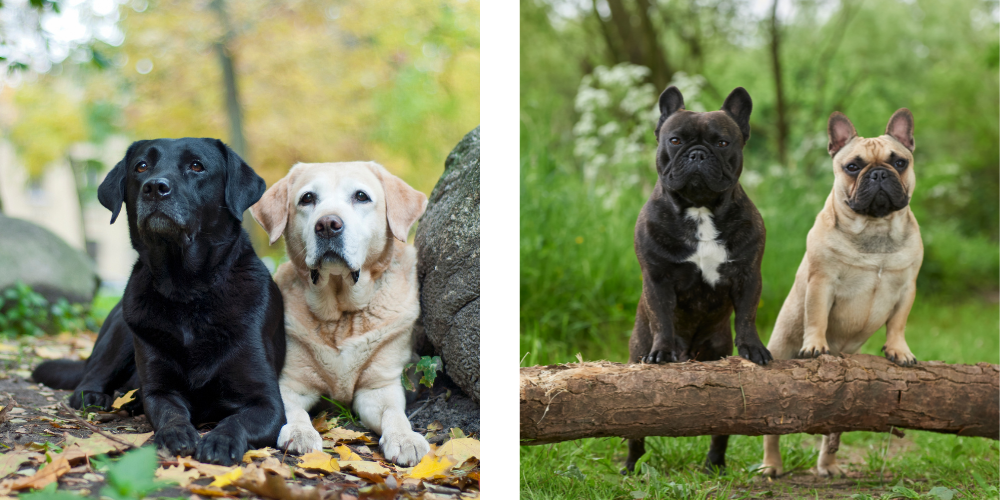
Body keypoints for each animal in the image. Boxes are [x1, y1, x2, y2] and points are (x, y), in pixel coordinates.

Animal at [35, 138, 286, 464]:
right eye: (141, 166)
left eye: (197, 165)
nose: (155, 187)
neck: (187, 292)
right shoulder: (159, 389)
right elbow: (170, 412)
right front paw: (175, 433)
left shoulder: (268, 403)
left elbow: (237, 420)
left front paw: (221, 440)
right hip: (122, 331)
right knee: (91, 376)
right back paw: (96, 395)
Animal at [252, 162, 428, 466]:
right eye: (307, 198)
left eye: (361, 196)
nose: (327, 225)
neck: (341, 315)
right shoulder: (290, 382)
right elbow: (292, 410)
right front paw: (299, 432)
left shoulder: (379, 387)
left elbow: (395, 414)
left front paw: (405, 438)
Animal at [628, 88, 768, 474]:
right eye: (674, 140)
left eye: (722, 142)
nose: (697, 154)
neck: (701, 210)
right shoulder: (657, 278)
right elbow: (662, 316)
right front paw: (662, 352)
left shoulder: (748, 275)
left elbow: (747, 316)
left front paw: (753, 349)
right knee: (632, 430)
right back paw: (630, 467)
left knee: (721, 428)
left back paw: (714, 465)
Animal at [764, 109, 920, 476]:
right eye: (852, 166)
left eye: (900, 162)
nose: (879, 172)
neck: (876, 227)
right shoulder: (822, 281)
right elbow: (817, 317)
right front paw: (815, 346)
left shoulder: (907, 286)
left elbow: (898, 323)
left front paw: (899, 351)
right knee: (770, 430)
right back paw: (771, 465)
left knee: (833, 426)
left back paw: (829, 465)